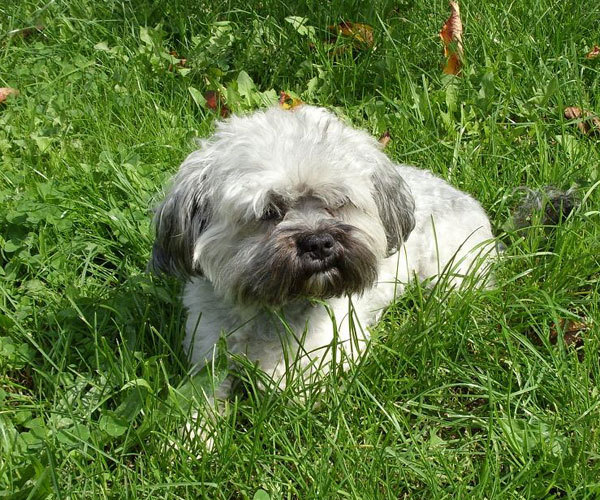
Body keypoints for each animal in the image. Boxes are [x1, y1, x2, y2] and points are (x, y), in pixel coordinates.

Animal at [151, 105, 494, 435]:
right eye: (269, 212)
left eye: (338, 202)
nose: (317, 242)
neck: (275, 309)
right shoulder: (208, 353)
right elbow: (200, 396)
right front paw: (191, 436)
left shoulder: (334, 348)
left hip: (450, 270)